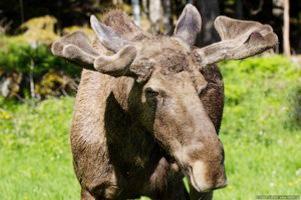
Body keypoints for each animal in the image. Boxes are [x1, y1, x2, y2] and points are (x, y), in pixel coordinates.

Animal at [51, 3, 276, 200]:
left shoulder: (169, 186)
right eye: (151, 91)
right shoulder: (92, 187)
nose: (211, 167)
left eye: (201, 86)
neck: (130, 159)